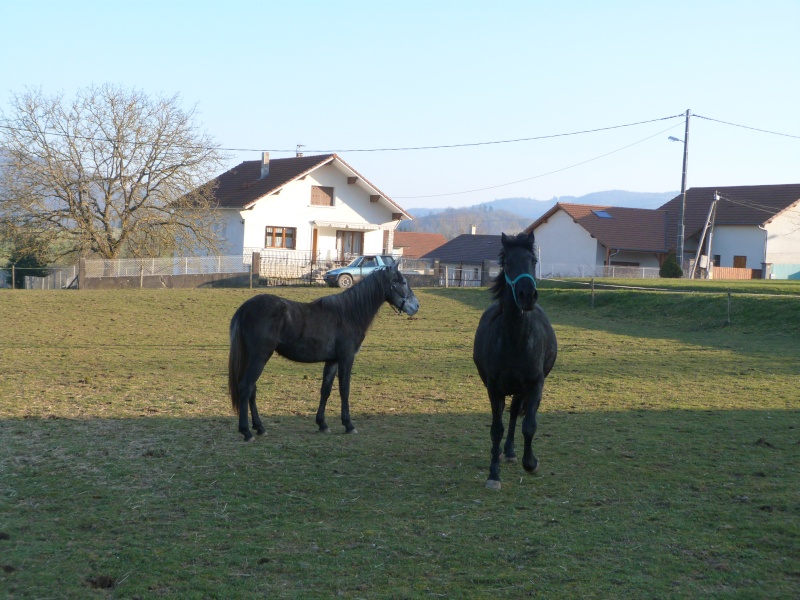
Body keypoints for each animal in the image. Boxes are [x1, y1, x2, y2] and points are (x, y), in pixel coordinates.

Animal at [228, 264, 418, 440]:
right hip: (259, 357)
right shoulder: (346, 358)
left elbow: (325, 390)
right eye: (402, 282)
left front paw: (322, 424)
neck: (348, 313)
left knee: (252, 389)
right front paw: (348, 424)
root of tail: (246, 307)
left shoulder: (332, 360)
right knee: (246, 387)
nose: (416, 306)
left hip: (251, 358)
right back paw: (246, 432)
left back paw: (260, 428)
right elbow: (344, 389)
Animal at [476, 232, 556, 490]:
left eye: (534, 261)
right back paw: (503, 452)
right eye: (508, 264)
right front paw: (493, 474)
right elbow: (496, 429)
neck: (516, 340)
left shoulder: (535, 385)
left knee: (513, 415)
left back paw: (511, 452)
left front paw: (530, 463)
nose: (527, 296)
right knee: (504, 415)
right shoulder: (493, 387)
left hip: (520, 390)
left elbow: (528, 425)